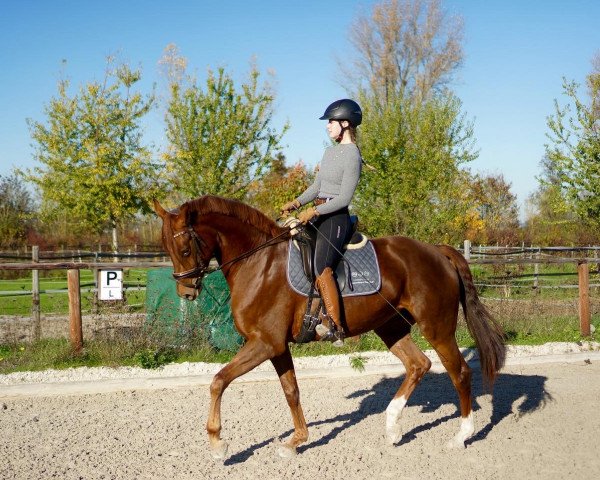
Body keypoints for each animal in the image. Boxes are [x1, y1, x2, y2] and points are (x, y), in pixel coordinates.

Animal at [152, 196, 504, 462]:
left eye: (184, 249)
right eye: (167, 248)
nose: (186, 293)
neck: (260, 264)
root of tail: (436, 251)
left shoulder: (264, 343)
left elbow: (218, 381)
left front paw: (217, 444)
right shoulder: (276, 346)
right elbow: (291, 391)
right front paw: (296, 441)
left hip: (437, 327)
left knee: (459, 372)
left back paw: (461, 436)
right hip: (391, 327)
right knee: (419, 364)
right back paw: (392, 427)